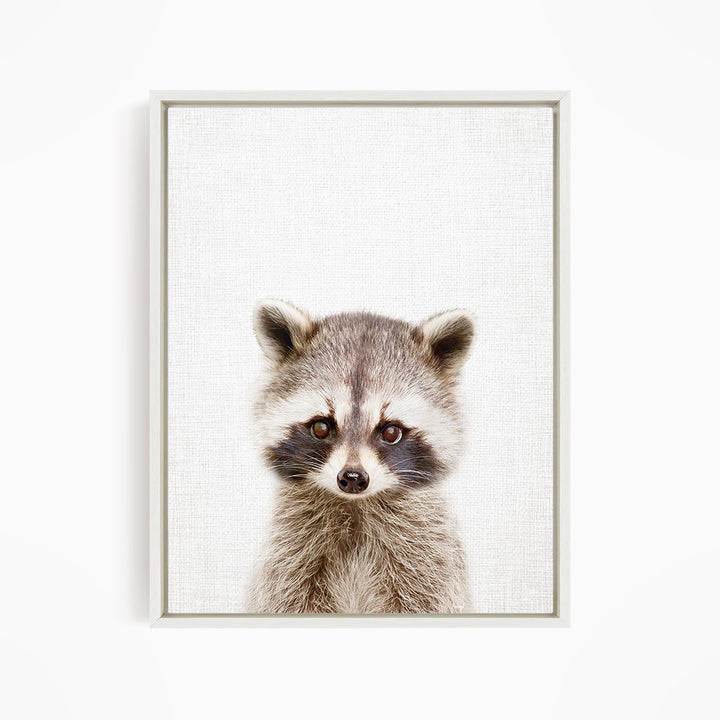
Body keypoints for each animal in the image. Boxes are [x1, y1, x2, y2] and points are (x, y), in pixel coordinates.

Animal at [246, 299, 474, 614]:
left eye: (390, 431)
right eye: (321, 427)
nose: (353, 477)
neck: (355, 506)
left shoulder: (429, 557)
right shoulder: (288, 555)